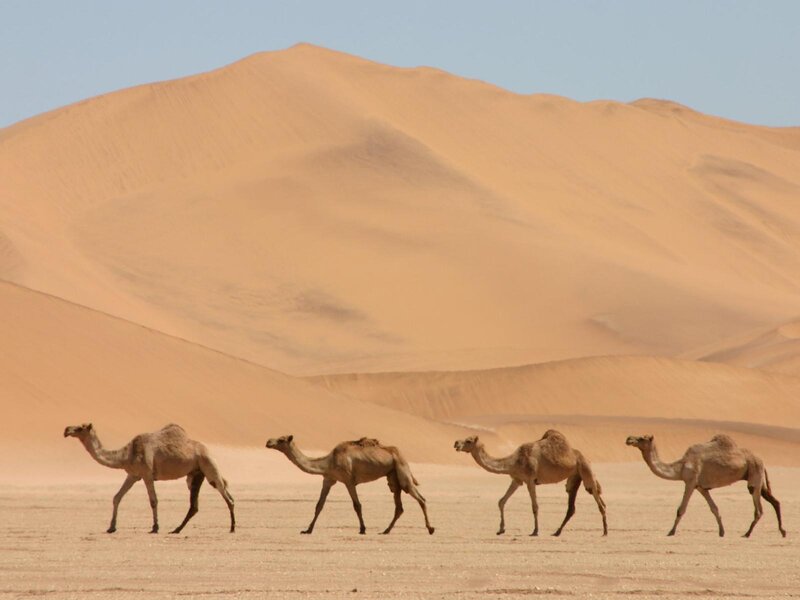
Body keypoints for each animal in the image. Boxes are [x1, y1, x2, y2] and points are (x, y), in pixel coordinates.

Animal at [64, 423, 235, 534]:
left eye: (80, 428)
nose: (66, 430)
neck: (126, 455)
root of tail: (207, 449)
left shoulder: (147, 474)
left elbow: (153, 500)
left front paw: (155, 527)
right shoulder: (133, 475)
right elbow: (117, 497)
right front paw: (111, 527)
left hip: (208, 464)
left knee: (226, 494)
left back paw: (232, 528)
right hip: (195, 474)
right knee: (195, 505)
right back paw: (176, 529)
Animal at [266, 435, 434, 535]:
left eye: (281, 440)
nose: (268, 442)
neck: (328, 463)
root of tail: (399, 453)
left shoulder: (348, 480)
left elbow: (357, 505)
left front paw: (362, 529)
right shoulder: (328, 479)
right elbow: (319, 505)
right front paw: (308, 529)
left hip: (402, 470)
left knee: (420, 498)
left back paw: (431, 529)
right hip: (392, 476)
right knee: (399, 505)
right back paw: (386, 530)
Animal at [454, 430, 607, 536]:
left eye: (468, 441)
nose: (456, 443)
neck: (514, 461)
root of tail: (585, 457)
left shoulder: (530, 480)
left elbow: (535, 506)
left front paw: (535, 531)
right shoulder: (517, 480)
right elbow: (501, 501)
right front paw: (501, 529)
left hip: (586, 471)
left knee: (598, 499)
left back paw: (605, 531)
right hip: (574, 477)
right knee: (572, 506)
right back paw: (557, 532)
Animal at [626, 434, 786, 538]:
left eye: (642, 438)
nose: (629, 439)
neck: (681, 467)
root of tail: (762, 461)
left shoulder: (690, 482)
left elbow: (681, 509)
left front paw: (671, 532)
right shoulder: (701, 487)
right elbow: (714, 508)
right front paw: (721, 532)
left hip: (754, 476)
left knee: (759, 508)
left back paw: (747, 533)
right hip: (758, 478)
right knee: (775, 501)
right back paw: (782, 531)